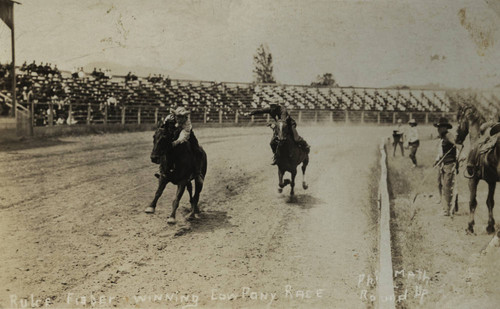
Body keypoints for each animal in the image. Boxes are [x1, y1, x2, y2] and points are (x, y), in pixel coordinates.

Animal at [458, 103, 500, 233]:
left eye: (459, 119)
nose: (457, 138)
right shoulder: (492, 181)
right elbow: (490, 202)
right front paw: (490, 226)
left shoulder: (473, 179)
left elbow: (472, 201)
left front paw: (470, 226)